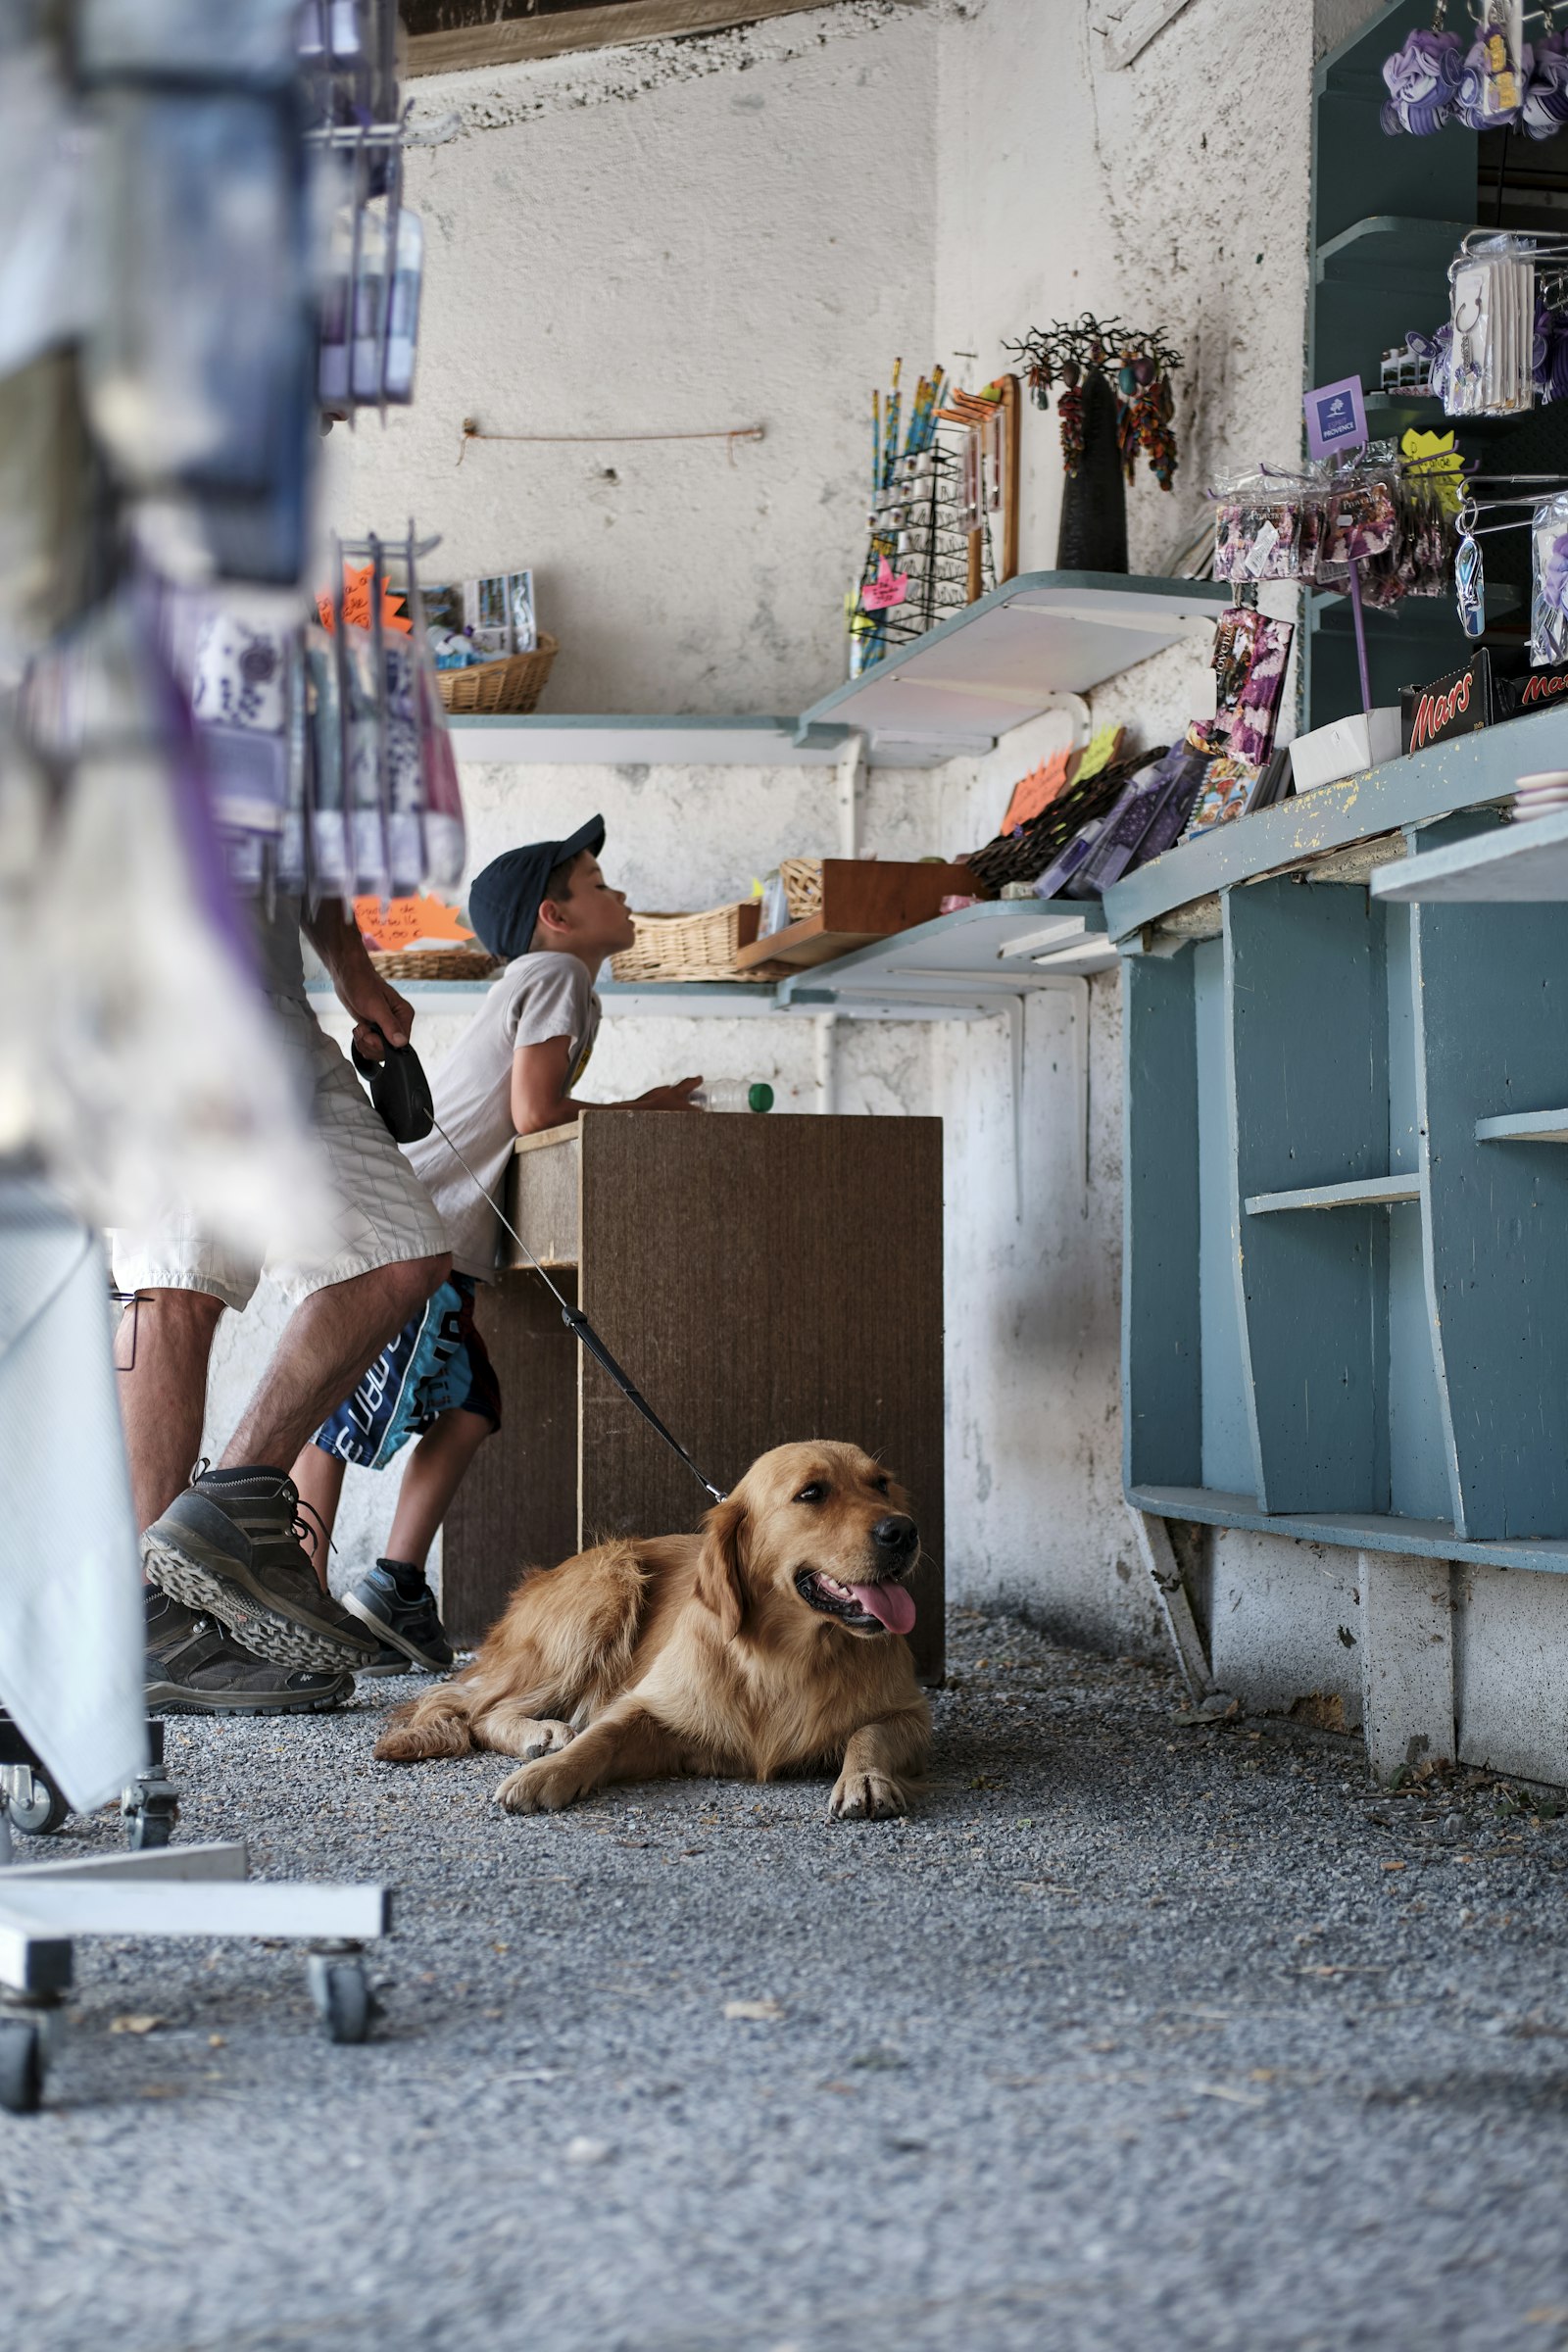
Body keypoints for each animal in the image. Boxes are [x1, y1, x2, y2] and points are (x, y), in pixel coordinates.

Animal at [375, 1439, 930, 1825]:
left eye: (881, 1484)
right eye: (811, 1493)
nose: (904, 1530)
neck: (784, 1659)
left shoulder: (912, 1715)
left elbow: (870, 1730)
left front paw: (865, 1777)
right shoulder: (652, 1704)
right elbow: (602, 1735)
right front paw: (548, 1774)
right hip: (607, 1587)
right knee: (477, 1708)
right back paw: (541, 1734)